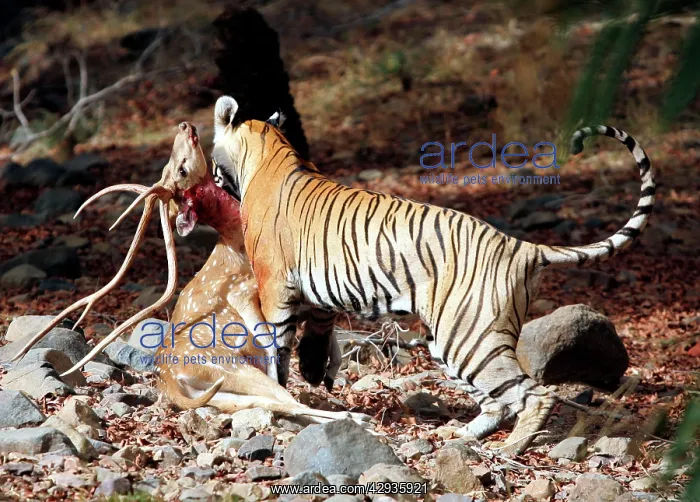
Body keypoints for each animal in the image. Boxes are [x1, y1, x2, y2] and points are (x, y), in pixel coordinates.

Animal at [10, 121, 370, 425]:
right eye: (182, 169)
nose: (184, 126)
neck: (237, 239)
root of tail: (169, 383)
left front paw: (331, 366)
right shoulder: (252, 291)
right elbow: (270, 336)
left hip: (222, 393)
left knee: (270, 402)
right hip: (228, 367)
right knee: (283, 398)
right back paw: (354, 417)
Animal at [206, 95, 655, 454]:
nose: (211, 177)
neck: (271, 148)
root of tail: (523, 246)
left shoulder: (274, 287)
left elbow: (275, 348)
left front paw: (282, 397)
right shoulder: (315, 290)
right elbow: (317, 328)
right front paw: (316, 371)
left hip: (469, 338)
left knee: (534, 395)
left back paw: (510, 447)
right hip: (455, 340)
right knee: (498, 400)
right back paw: (463, 436)